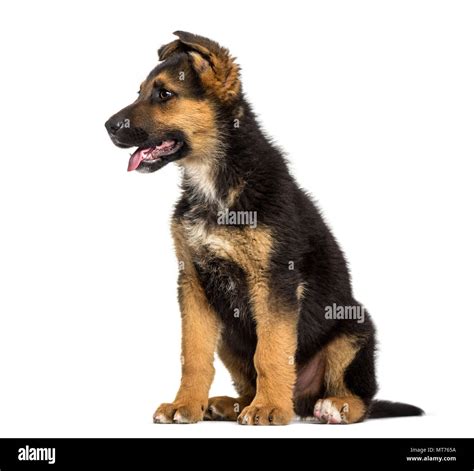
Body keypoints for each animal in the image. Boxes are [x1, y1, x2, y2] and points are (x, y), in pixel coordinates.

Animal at [104, 31, 422, 426]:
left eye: (164, 94)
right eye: (141, 92)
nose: (107, 126)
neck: (215, 182)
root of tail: (301, 400)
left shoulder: (274, 281)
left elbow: (271, 353)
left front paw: (269, 408)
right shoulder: (193, 281)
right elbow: (193, 355)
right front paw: (185, 405)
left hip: (354, 330)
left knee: (361, 397)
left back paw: (332, 406)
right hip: (229, 334)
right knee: (248, 380)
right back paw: (229, 404)